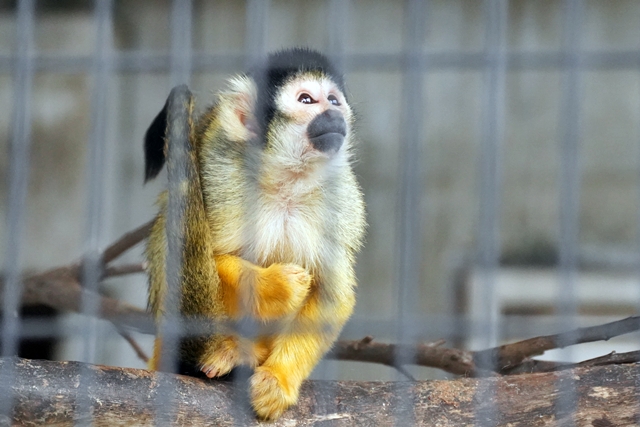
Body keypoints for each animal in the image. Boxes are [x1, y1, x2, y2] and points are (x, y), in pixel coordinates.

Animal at [144, 48, 364, 420]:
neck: (286, 180)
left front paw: (278, 379)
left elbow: (332, 293)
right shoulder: (222, 178)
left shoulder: (342, 201)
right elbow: (209, 257)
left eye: (334, 99)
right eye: (307, 99)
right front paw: (280, 286)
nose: (333, 113)